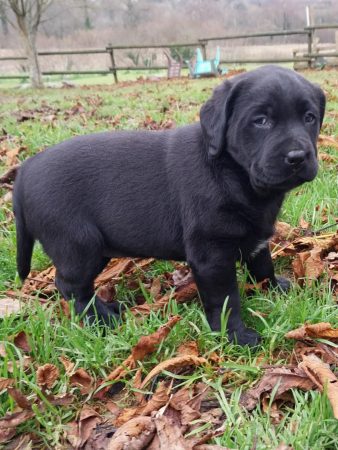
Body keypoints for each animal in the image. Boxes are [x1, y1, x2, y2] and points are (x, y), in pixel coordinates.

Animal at [13, 66, 324, 344]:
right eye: (261, 121)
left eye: (309, 118)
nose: (298, 157)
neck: (233, 172)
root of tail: (24, 172)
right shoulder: (211, 256)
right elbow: (225, 301)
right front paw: (235, 336)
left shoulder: (255, 237)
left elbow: (262, 264)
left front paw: (273, 288)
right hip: (78, 245)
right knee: (71, 287)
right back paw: (99, 319)